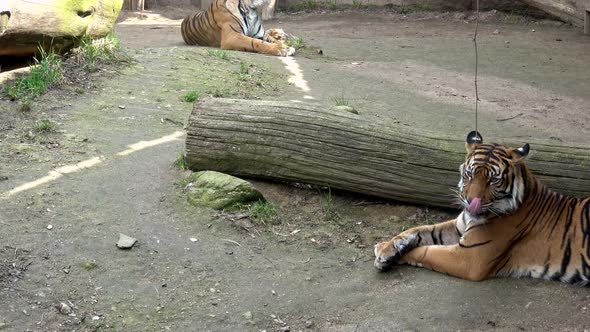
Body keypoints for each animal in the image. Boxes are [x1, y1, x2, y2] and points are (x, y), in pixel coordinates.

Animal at [374, 131, 590, 284]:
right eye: (469, 174)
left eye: (493, 180)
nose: (471, 202)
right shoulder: (458, 228)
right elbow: (420, 230)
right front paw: (386, 248)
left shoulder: (470, 258)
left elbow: (426, 250)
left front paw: (390, 255)